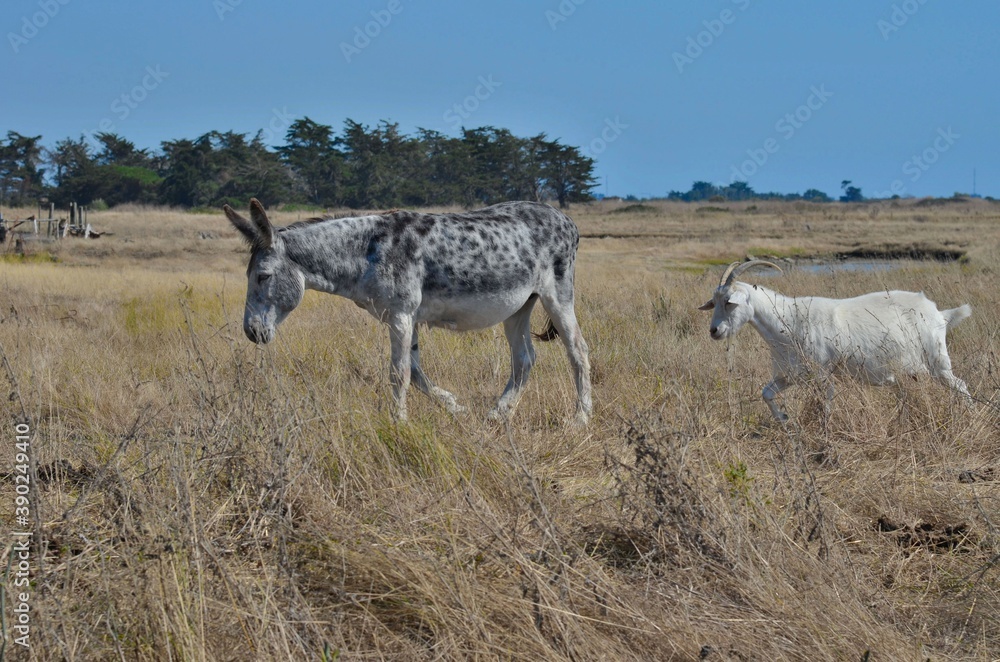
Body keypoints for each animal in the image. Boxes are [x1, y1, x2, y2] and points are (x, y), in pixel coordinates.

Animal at [699, 260, 972, 421]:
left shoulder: (822, 374)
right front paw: (783, 418)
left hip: (937, 361)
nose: (714, 330)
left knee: (960, 384)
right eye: (714, 301)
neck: (788, 321)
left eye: (729, 302)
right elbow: (766, 393)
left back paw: (969, 414)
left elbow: (826, 403)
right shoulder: (790, 375)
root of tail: (940, 313)